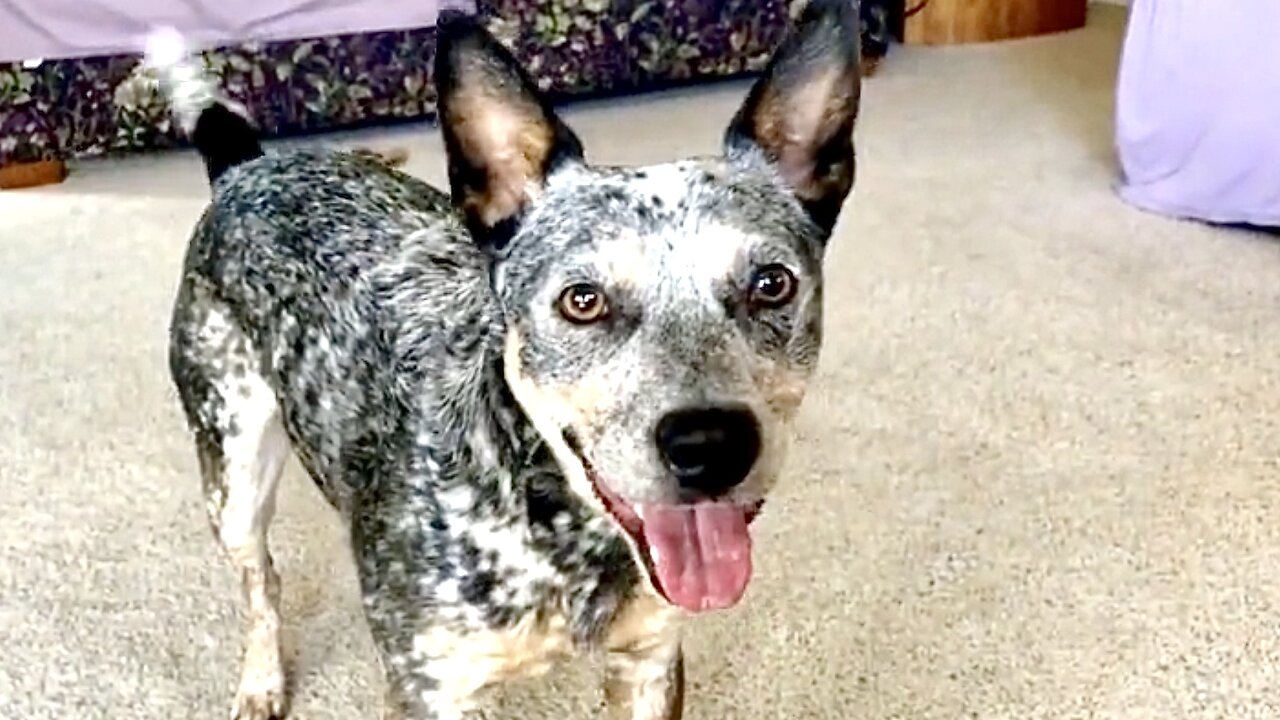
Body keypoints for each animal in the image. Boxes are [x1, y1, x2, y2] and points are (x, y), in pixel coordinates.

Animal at [152, 2, 860, 712]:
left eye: (772, 283)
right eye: (582, 300)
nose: (711, 445)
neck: (556, 529)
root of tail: (246, 166)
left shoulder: (650, 662)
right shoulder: (429, 687)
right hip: (233, 474)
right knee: (261, 584)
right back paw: (261, 680)